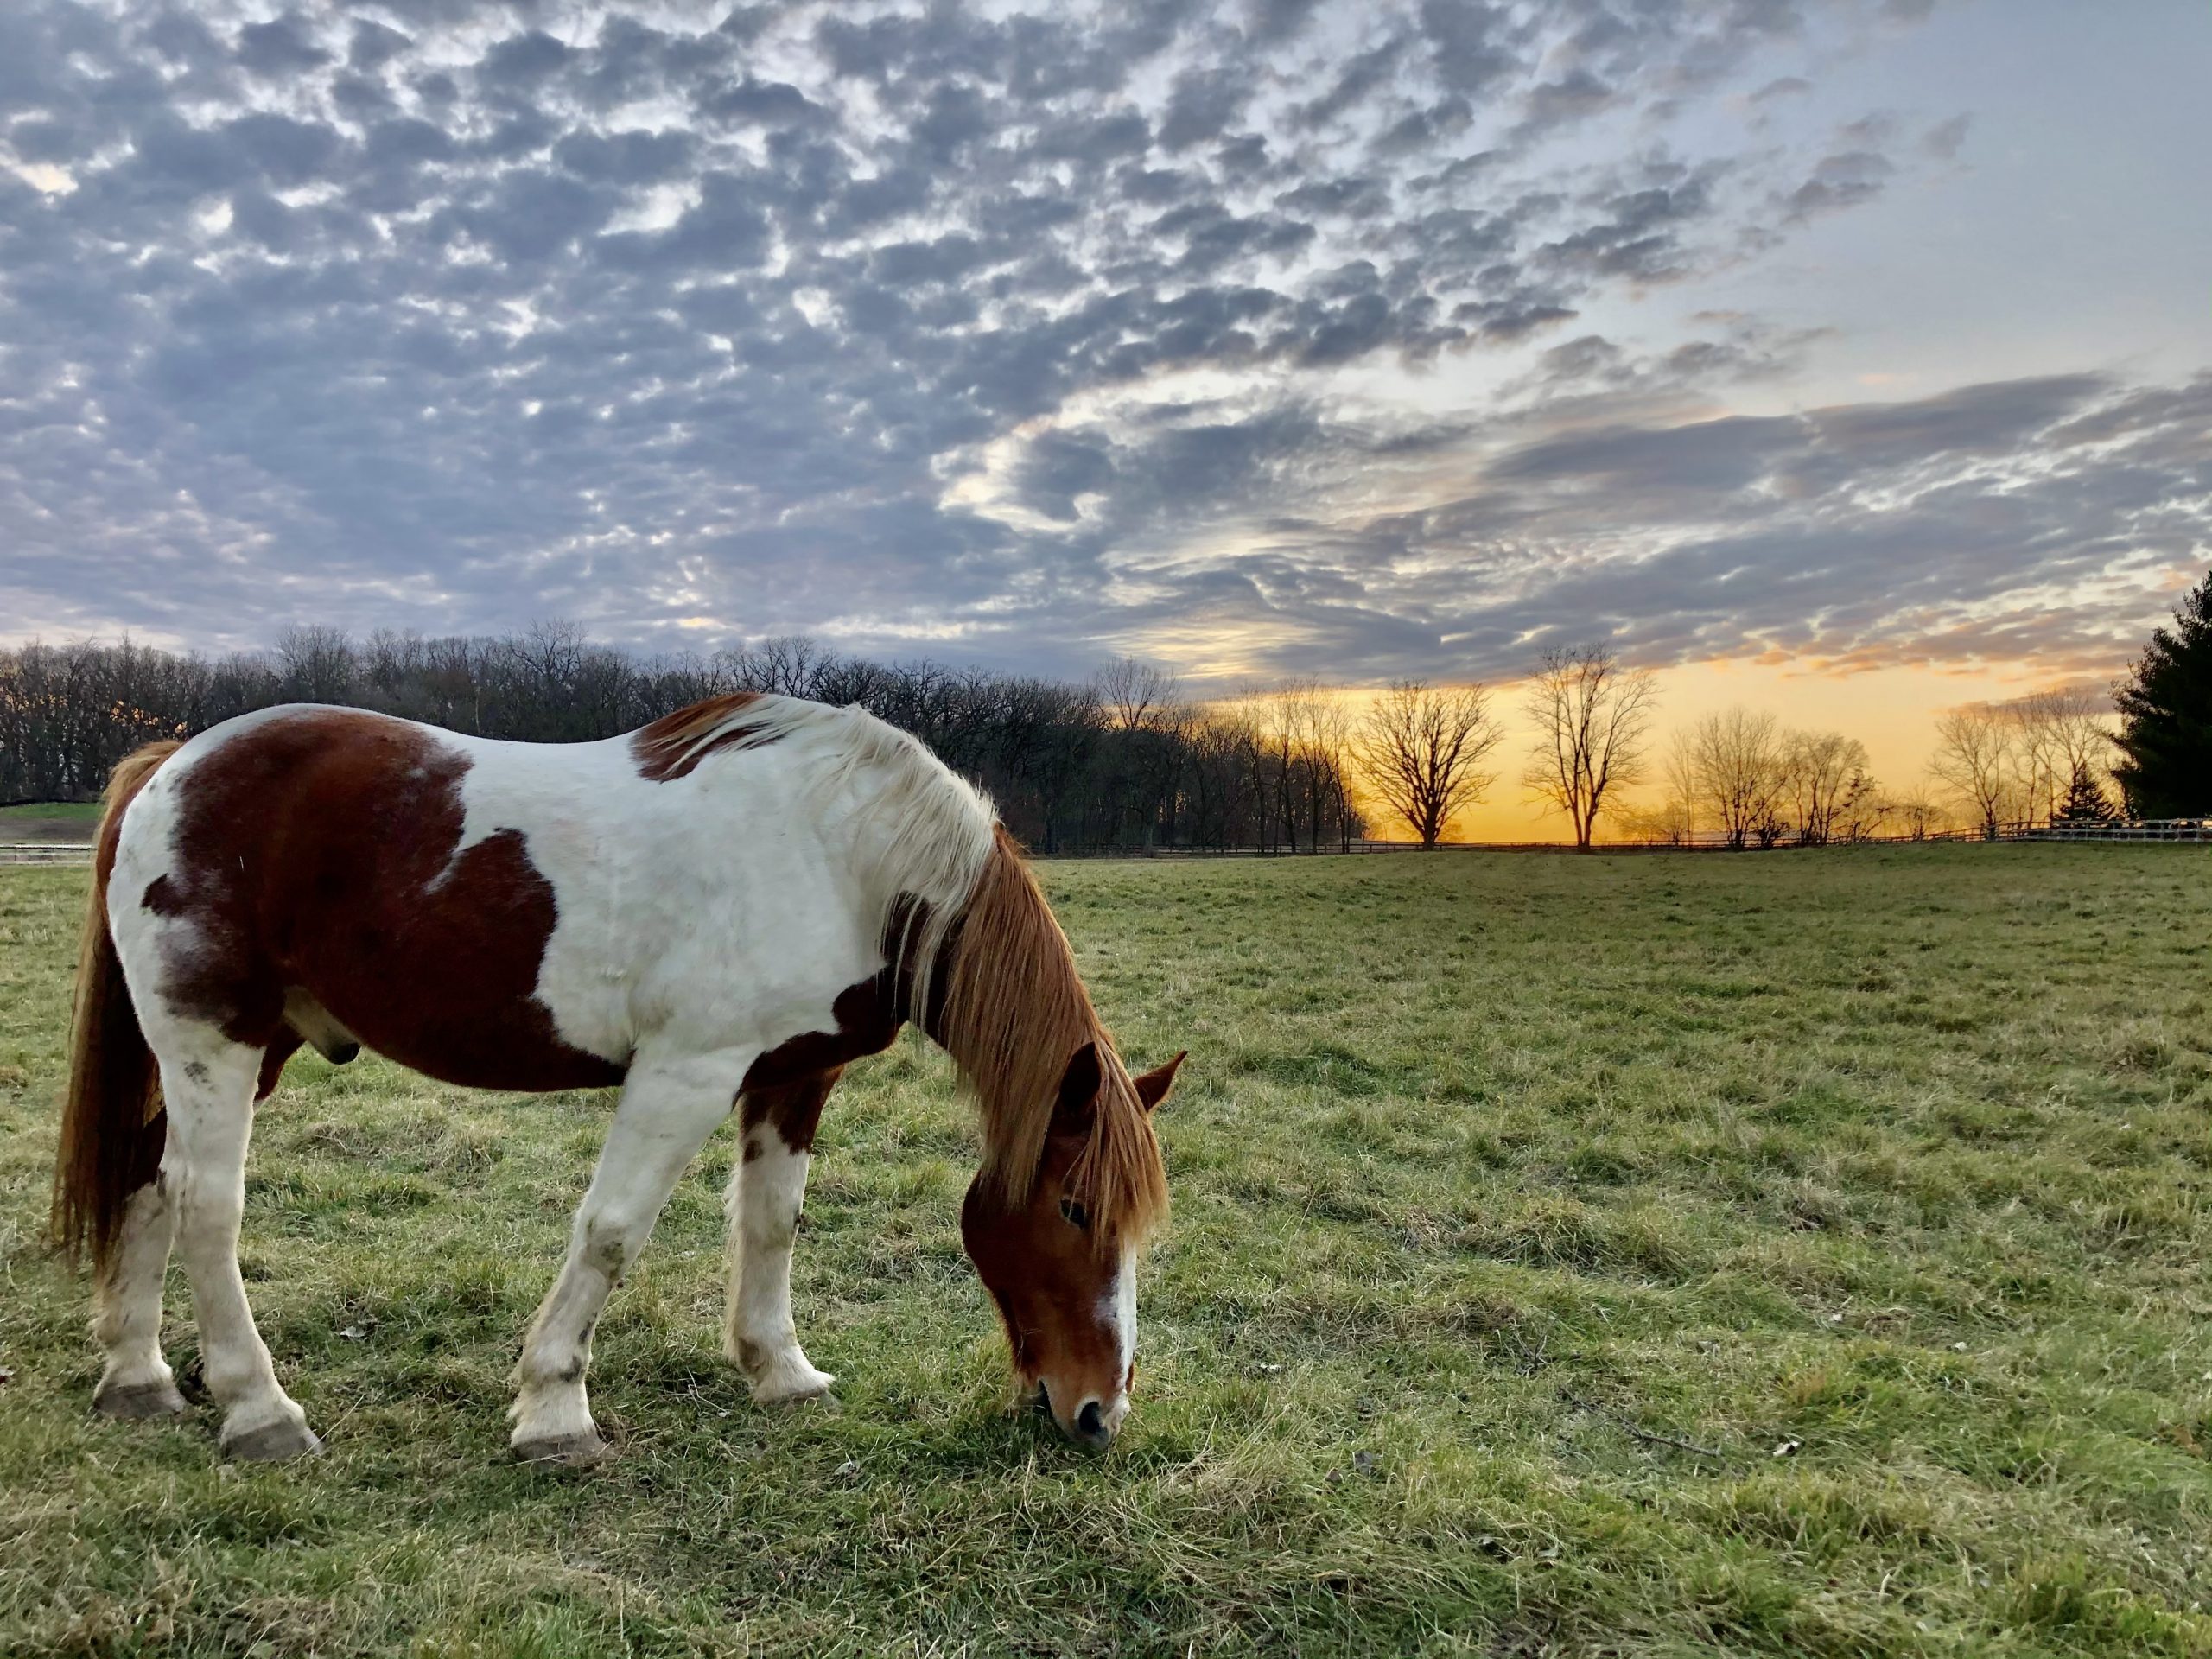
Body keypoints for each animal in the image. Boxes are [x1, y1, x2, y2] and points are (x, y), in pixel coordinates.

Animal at [52, 698, 1185, 1468]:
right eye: (1076, 1209)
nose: (1100, 1411)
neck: (840, 857)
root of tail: (168, 763)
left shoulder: (793, 1076)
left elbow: (771, 1224)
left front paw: (780, 1371)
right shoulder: (685, 1073)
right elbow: (610, 1234)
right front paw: (555, 1409)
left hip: (254, 1047)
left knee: (149, 1181)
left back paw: (138, 1378)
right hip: (216, 1041)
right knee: (206, 1205)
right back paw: (260, 1409)